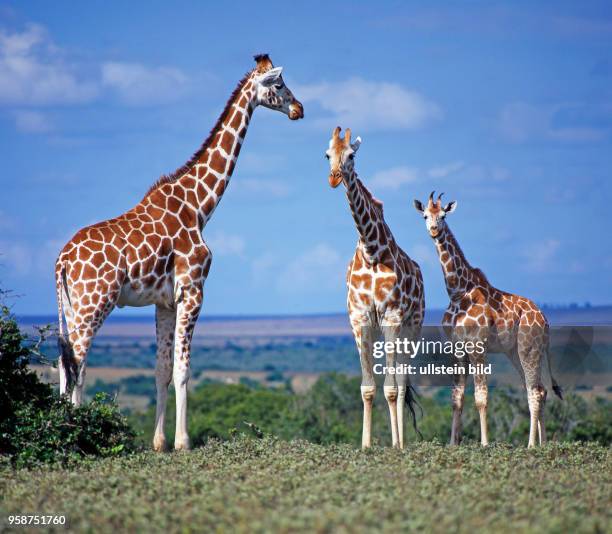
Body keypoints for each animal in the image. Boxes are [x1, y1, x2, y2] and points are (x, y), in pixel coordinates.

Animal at [53, 53, 302, 452]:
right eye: (279, 85)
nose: (299, 109)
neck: (199, 205)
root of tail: (61, 261)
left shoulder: (165, 301)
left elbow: (161, 369)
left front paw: (159, 442)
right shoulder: (193, 290)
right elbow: (184, 369)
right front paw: (184, 441)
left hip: (72, 305)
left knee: (70, 362)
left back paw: (74, 428)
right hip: (95, 302)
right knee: (75, 360)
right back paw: (76, 432)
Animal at [328, 127, 424, 450]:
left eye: (352, 155)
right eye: (327, 154)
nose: (334, 178)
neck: (371, 249)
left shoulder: (392, 316)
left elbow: (392, 389)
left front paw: (395, 446)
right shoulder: (360, 318)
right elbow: (368, 387)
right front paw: (366, 445)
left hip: (412, 326)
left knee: (402, 382)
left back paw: (402, 442)